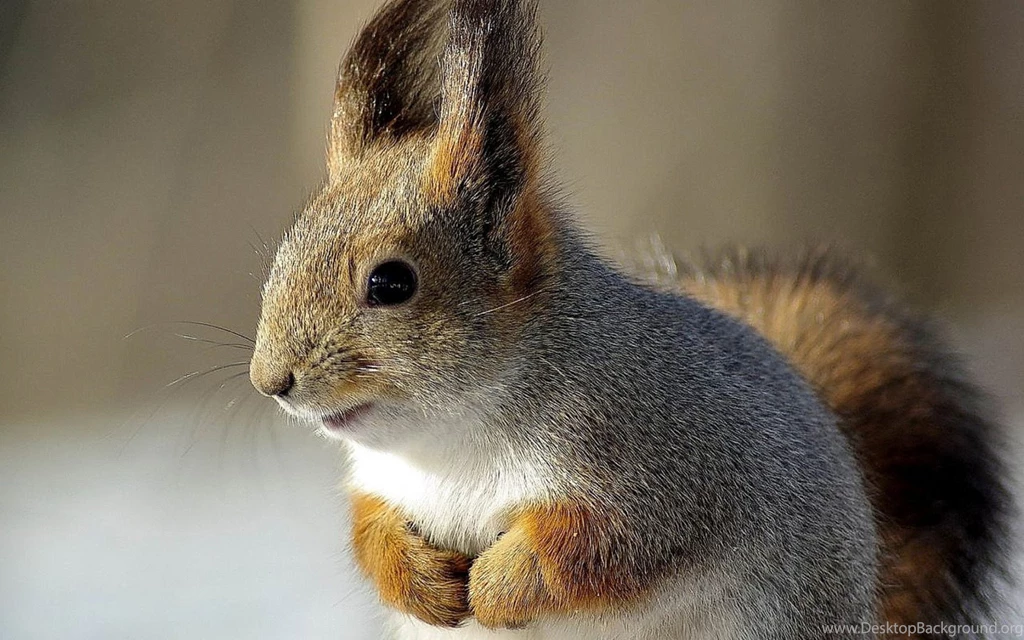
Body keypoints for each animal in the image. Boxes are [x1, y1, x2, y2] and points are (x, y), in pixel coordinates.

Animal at [248, 0, 1013, 638]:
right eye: (286, 248)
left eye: (391, 282)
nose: (270, 382)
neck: (451, 440)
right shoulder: (381, 485)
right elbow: (369, 531)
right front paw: (420, 581)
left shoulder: (673, 473)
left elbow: (600, 548)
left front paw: (499, 585)